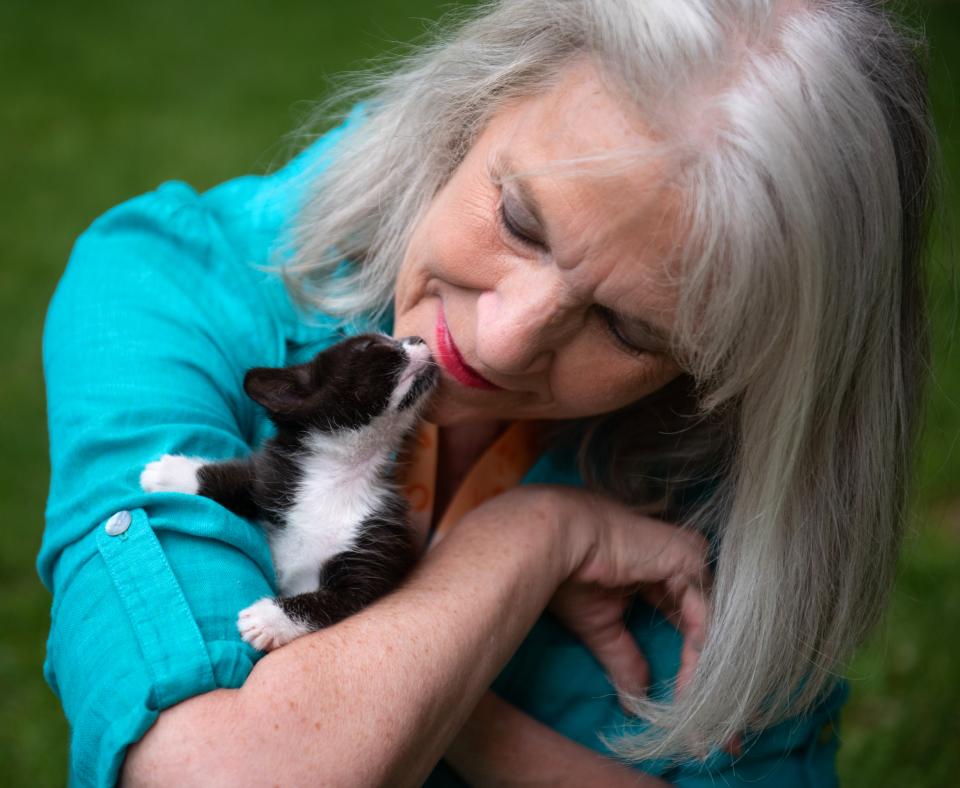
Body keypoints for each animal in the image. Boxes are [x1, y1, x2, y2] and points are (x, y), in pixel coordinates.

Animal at [139, 332, 438, 648]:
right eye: (371, 346)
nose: (417, 337)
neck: (340, 477)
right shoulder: (278, 480)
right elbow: (244, 479)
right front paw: (172, 474)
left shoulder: (376, 555)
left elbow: (329, 602)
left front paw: (268, 619)